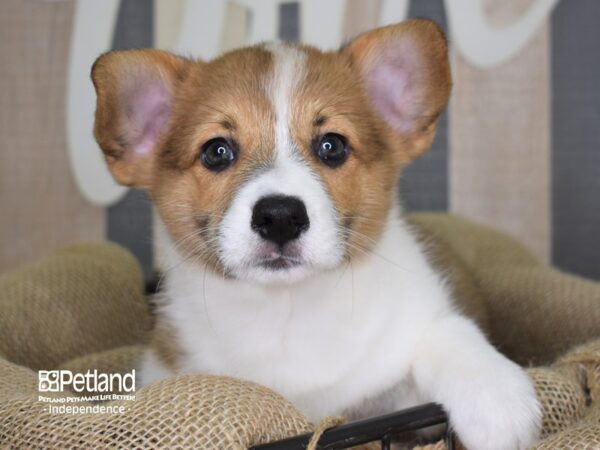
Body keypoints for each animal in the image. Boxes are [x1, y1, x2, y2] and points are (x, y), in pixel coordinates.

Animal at [91, 19, 540, 448]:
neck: (287, 311)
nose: (280, 217)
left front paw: (496, 399)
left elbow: (446, 333)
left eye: (332, 146)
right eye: (217, 151)